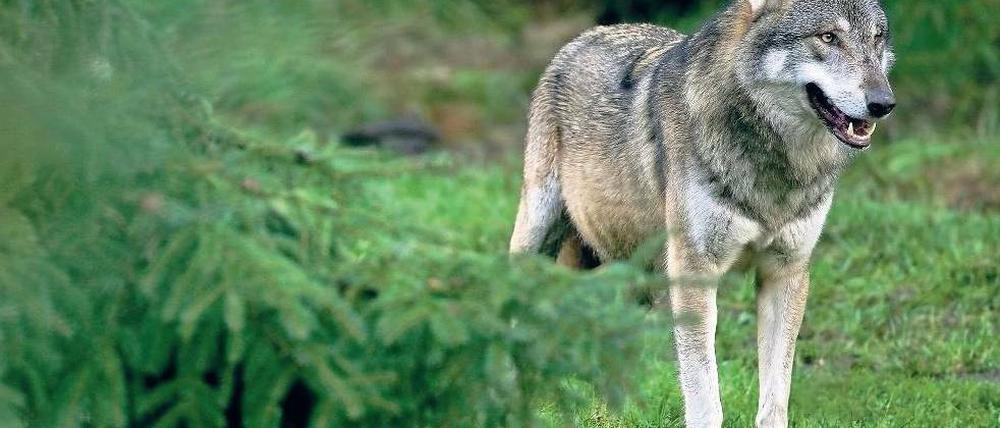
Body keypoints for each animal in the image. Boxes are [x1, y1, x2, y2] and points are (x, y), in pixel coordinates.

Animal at [508, 0, 895, 426]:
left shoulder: (785, 272)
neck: (774, 165)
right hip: (539, 236)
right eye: (828, 37)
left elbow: (775, 398)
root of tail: (586, 35)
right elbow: (705, 396)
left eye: (877, 38)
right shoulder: (694, 273)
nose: (884, 104)